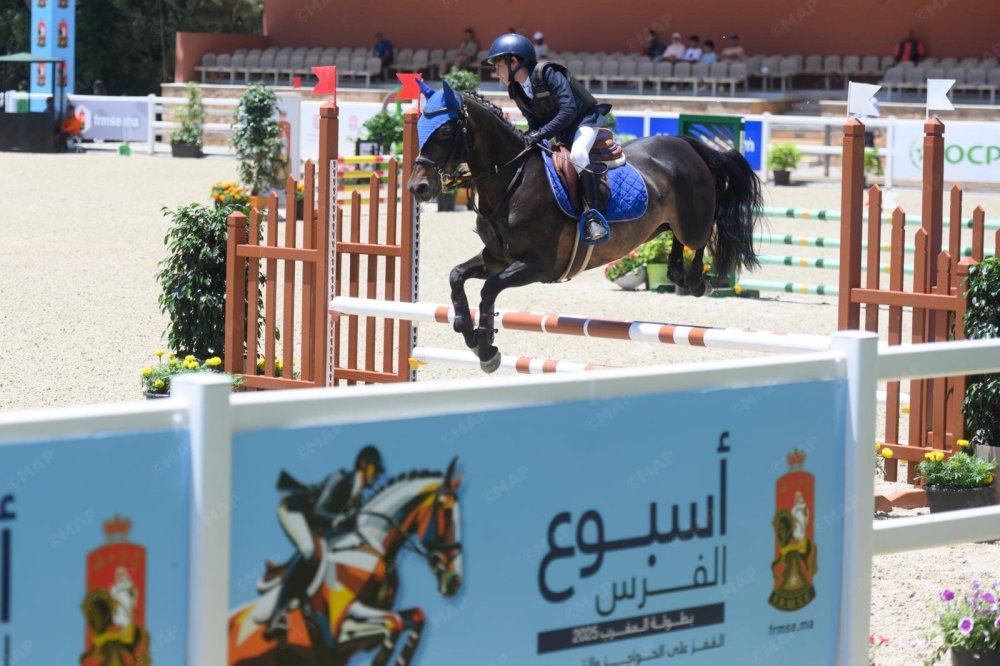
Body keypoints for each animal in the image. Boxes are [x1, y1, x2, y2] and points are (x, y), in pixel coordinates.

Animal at [228, 459, 463, 666]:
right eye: (446, 511)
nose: (454, 581)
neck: (370, 546)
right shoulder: (340, 632)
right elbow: (393, 622)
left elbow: (415, 616)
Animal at [406, 81, 764, 373]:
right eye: (421, 126)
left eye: (446, 130)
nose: (417, 188)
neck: (511, 179)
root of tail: (688, 145)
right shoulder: (497, 258)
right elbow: (457, 277)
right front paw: (467, 330)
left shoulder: (538, 265)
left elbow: (489, 289)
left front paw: (486, 347)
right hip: (661, 222)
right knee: (675, 239)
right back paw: (677, 272)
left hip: (692, 219)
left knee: (702, 235)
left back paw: (696, 281)